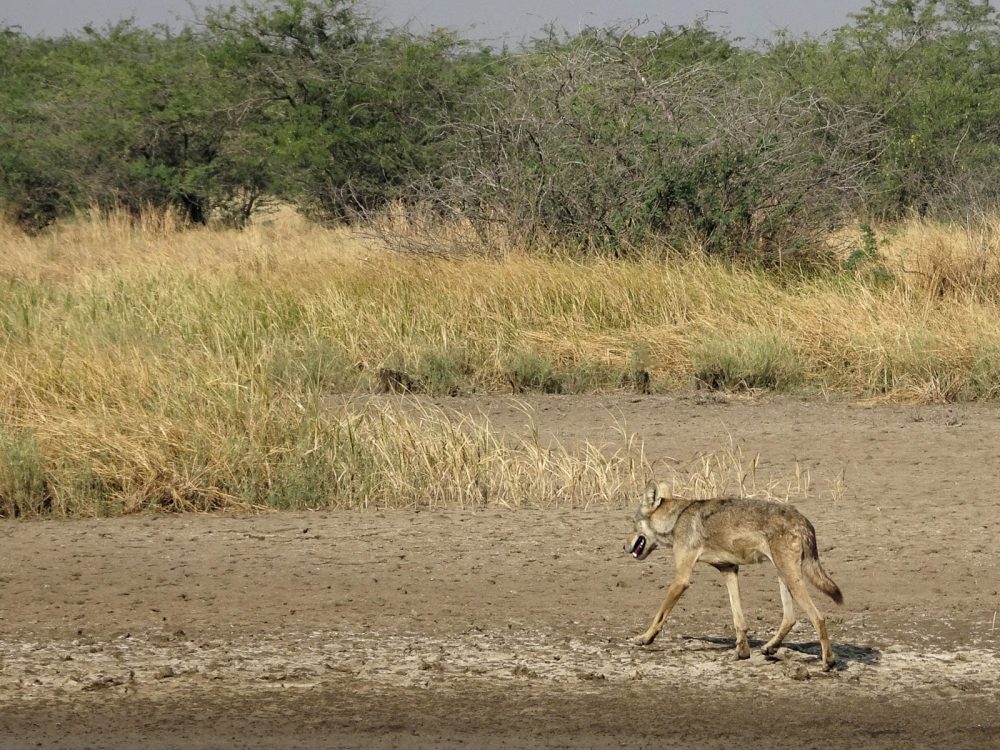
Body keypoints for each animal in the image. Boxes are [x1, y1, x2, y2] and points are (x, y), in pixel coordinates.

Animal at [624, 481, 843, 670]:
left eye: (633, 523)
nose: (624, 547)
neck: (676, 519)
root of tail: (804, 520)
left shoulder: (681, 579)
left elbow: (660, 614)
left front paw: (645, 638)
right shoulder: (729, 570)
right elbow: (739, 620)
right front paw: (742, 651)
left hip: (791, 579)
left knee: (818, 617)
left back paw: (828, 661)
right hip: (784, 577)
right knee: (790, 618)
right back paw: (769, 647)